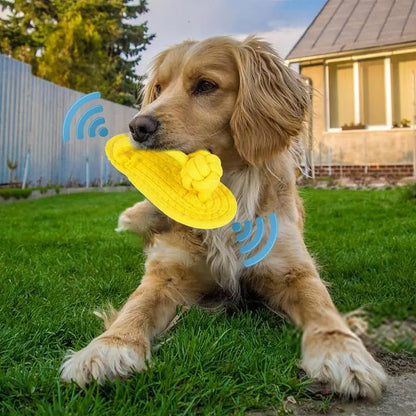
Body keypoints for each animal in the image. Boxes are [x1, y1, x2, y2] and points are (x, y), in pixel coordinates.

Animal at [61, 35, 386, 400]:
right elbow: (136, 306)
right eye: (159, 88)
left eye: (206, 85)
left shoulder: (294, 270)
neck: (223, 191)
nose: (137, 127)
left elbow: (321, 306)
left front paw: (343, 352)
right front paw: (108, 347)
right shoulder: (166, 275)